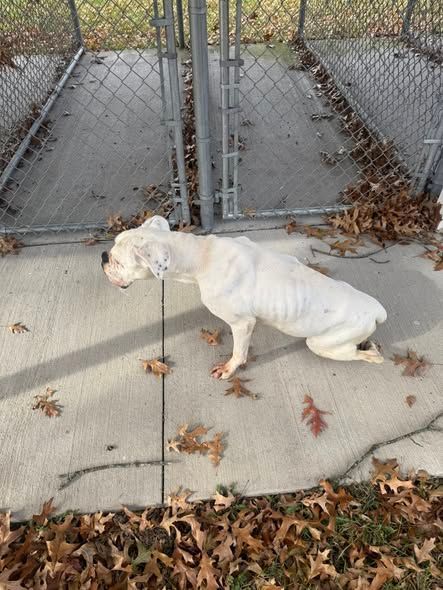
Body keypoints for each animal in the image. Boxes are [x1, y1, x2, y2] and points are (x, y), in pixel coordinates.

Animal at [102, 215, 387, 379]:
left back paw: (372, 352)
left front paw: (229, 369)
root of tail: (376, 311)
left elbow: (238, 352)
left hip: (320, 343)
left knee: (366, 355)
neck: (202, 255)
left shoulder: (241, 323)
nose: (103, 256)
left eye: (118, 261)